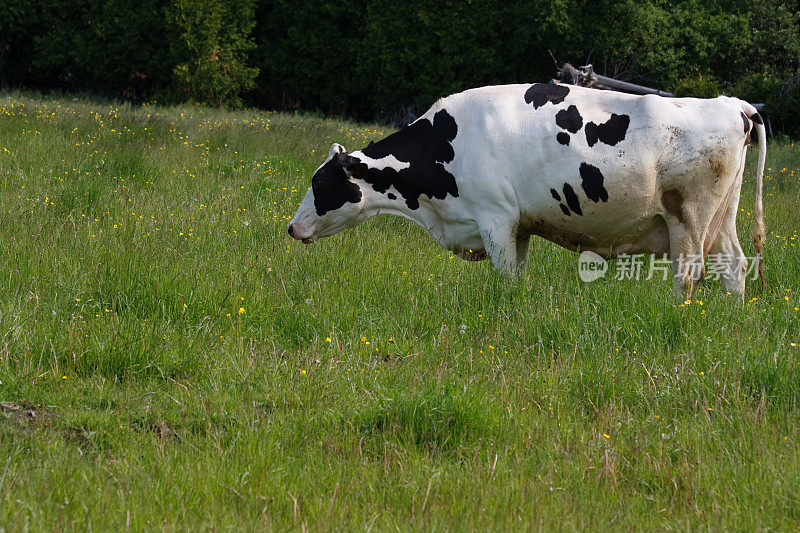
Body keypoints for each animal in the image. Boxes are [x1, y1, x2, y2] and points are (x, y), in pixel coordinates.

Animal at [290, 82, 764, 296]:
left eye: (320, 182)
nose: (292, 228)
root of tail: (731, 103)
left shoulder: (495, 219)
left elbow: (503, 279)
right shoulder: (517, 228)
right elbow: (516, 279)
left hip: (689, 217)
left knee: (689, 275)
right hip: (721, 218)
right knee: (734, 266)